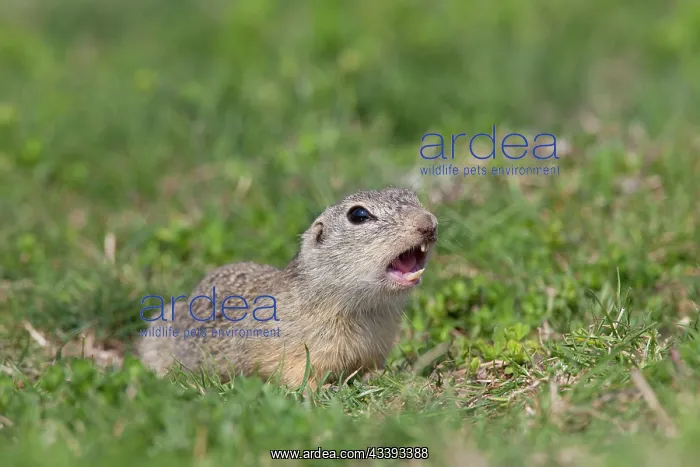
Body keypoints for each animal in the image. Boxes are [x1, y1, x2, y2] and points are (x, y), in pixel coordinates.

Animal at [137, 187, 438, 388]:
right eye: (359, 214)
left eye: (411, 196)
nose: (429, 223)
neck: (365, 308)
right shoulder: (293, 350)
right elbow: (297, 375)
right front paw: (324, 390)